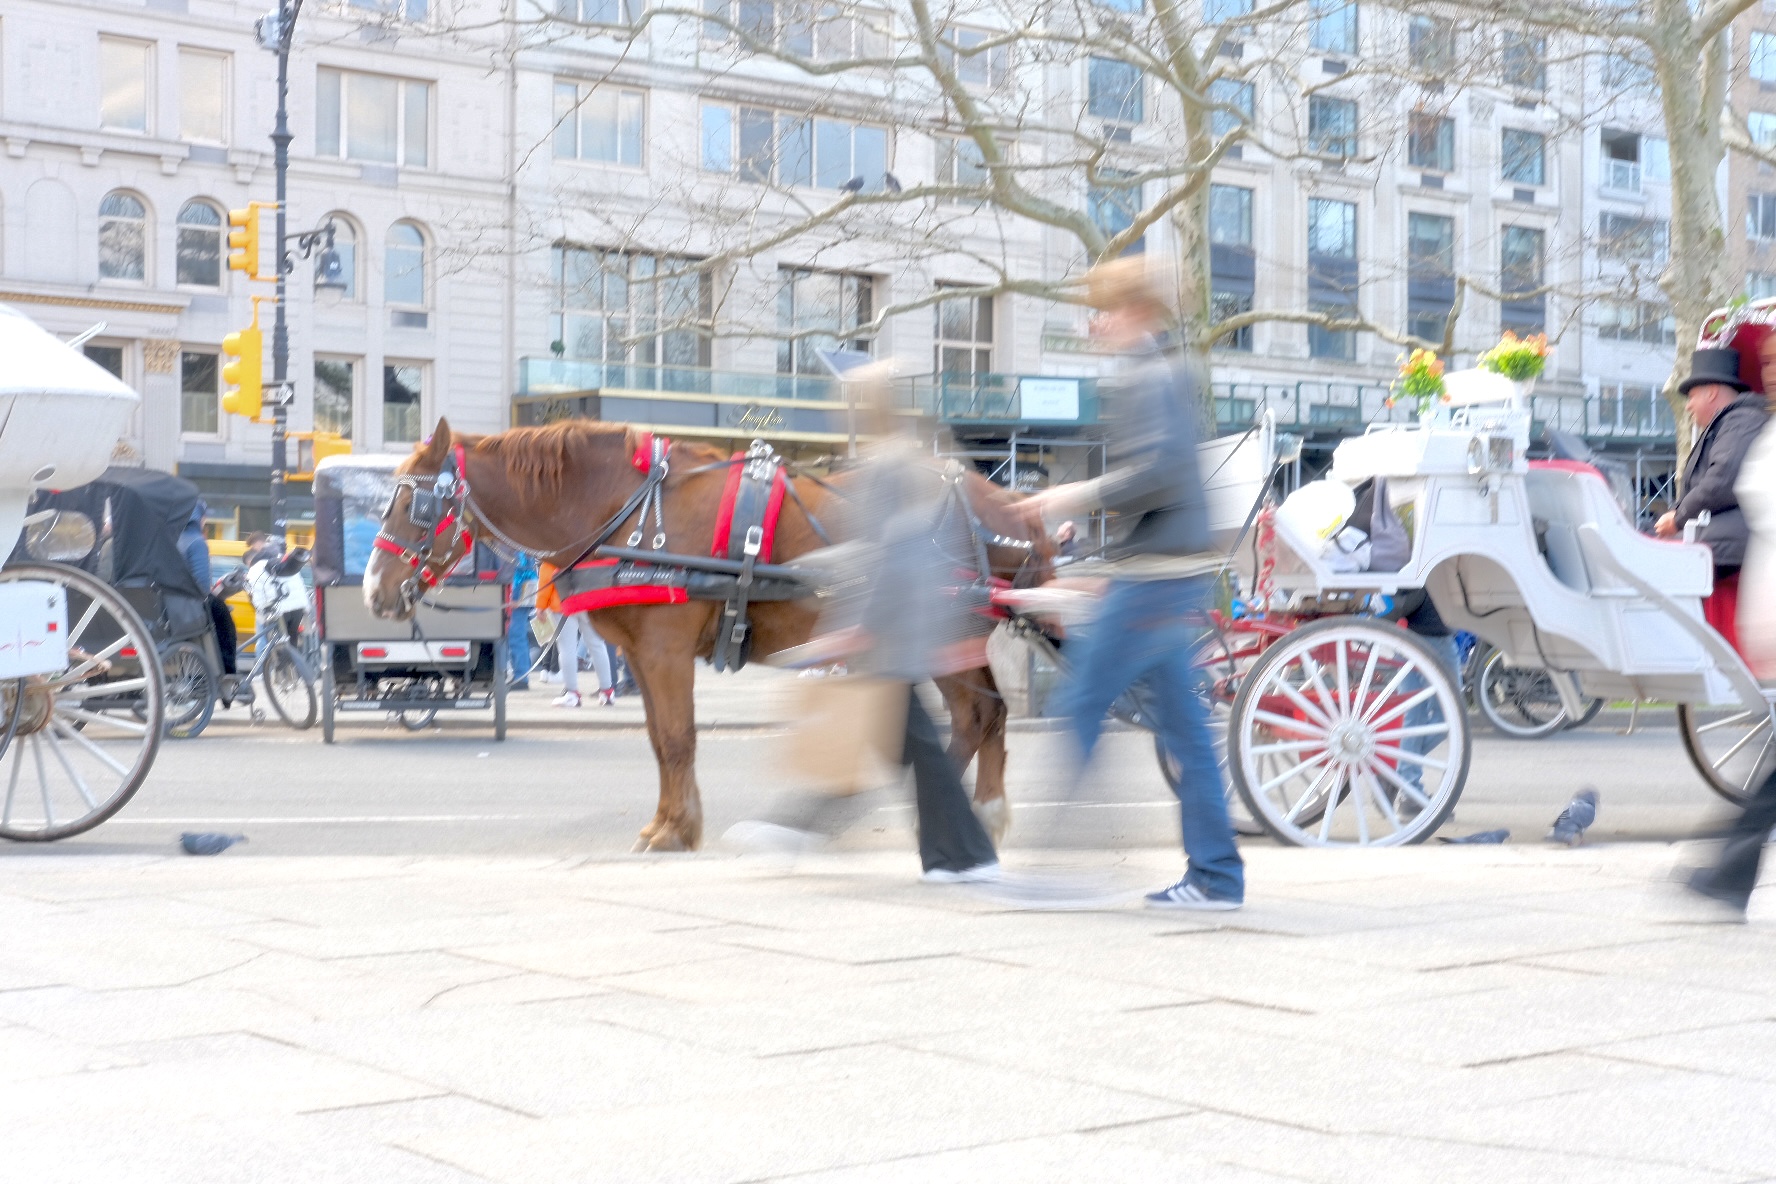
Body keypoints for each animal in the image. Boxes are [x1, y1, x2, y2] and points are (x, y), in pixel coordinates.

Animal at [367, 417, 1044, 852]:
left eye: (413, 506)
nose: (374, 590)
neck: (628, 508)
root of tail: (1006, 505)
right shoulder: (641, 653)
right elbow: (659, 740)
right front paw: (671, 822)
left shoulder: (664, 649)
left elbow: (676, 739)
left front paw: (674, 829)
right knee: (985, 715)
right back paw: (977, 813)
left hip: (939, 634)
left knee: (978, 716)